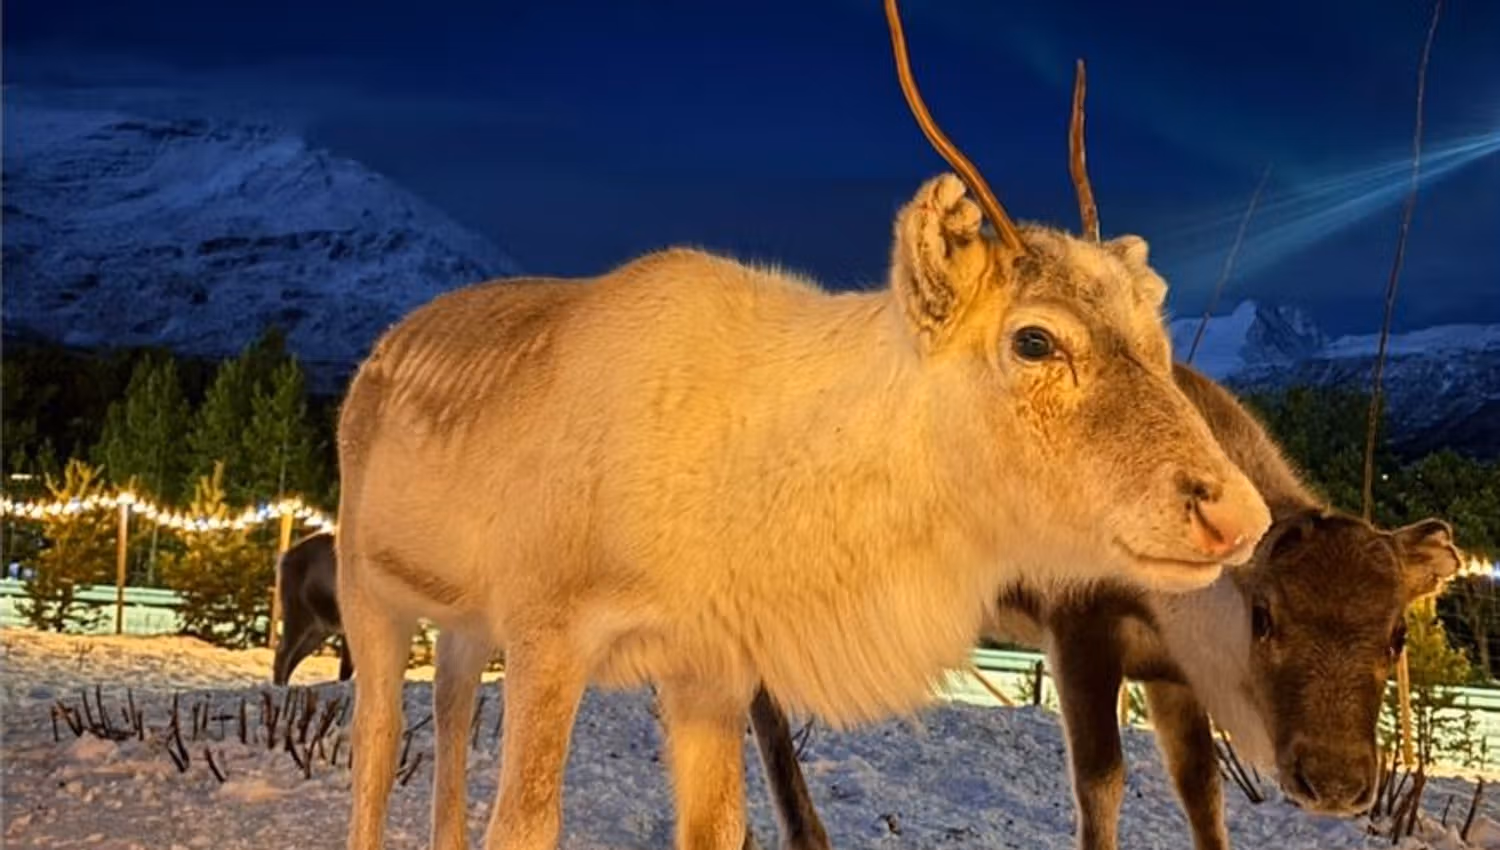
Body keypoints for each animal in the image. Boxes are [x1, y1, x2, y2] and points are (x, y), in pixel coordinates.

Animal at [270, 531, 353, 687]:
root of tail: (285, 556)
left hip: (318, 629)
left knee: (294, 657)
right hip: (298, 613)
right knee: (283, 652)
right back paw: (279, 688)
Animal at [331, 2, 1274, 847]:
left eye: (1157, 336)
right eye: (1034, 338)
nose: (1236, 513)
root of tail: (376, 357)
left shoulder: (709, 670)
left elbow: (718, 829)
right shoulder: (546, 633)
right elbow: (523, 825)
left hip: (461, 625)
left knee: (451, 720)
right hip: (369, 591)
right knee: (377, 747)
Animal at [740, 61, 1467, 850]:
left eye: (1396, 634)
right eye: (1265, 615)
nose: (1333, 781)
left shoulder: (1171, 670)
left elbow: (1202, 791)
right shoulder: (1076, 624)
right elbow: (1101, 783)